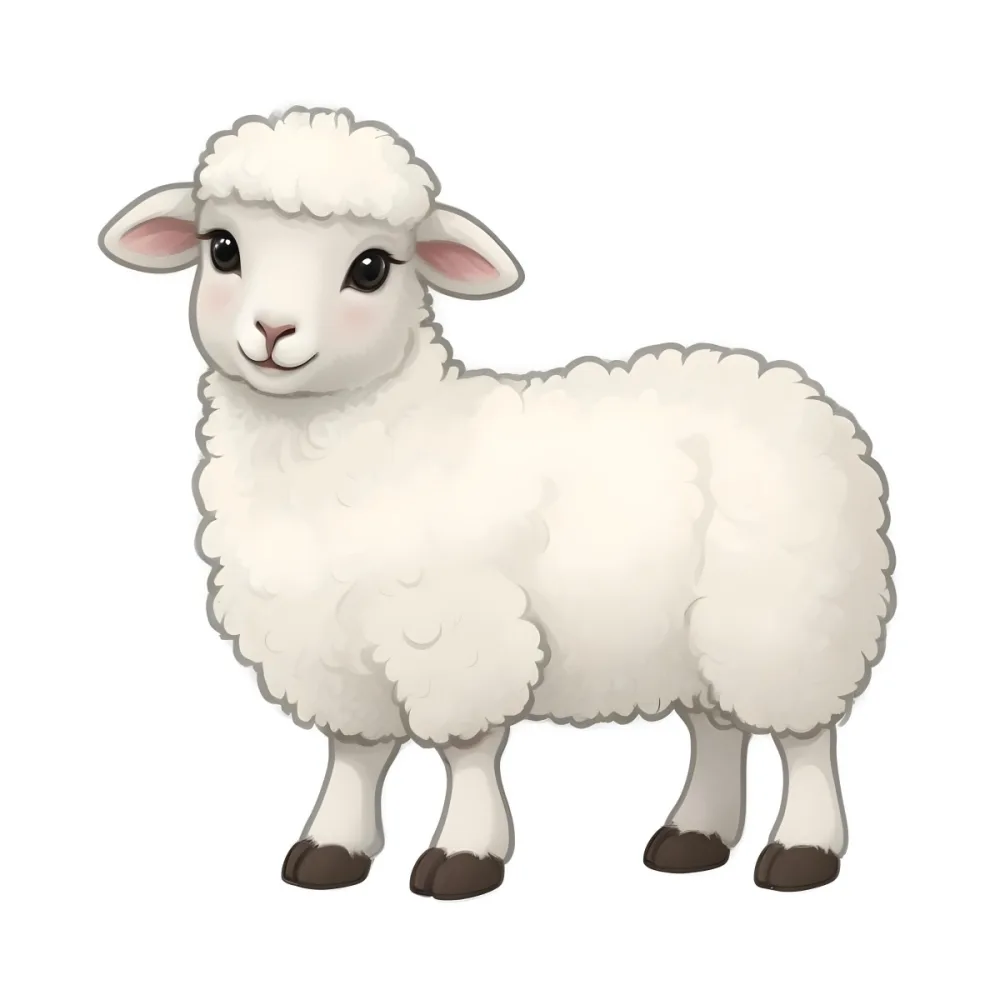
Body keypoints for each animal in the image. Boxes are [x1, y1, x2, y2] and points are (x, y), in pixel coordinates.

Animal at [98, 106, 895, 900]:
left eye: (370, 268)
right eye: (223, 248)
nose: (271, 331)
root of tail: (791, 391)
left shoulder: (459, 631)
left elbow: (468, 751)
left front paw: (464, 854)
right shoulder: (327, 647)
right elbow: (355, 755)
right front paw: (332, 846)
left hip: (784, 616)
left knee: (805, 736)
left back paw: (802, 849)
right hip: (697, 635)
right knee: (718, 728)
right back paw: (693, 836)